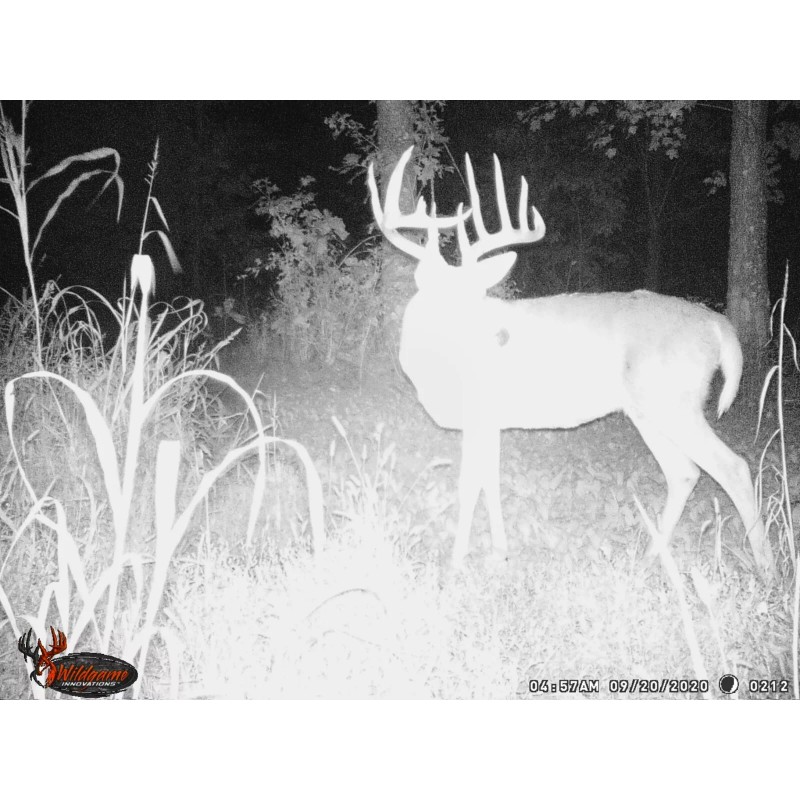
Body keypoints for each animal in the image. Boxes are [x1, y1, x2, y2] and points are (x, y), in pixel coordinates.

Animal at [368, 146, 775, 580]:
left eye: (473, 295)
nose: (495, 338)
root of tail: (719, 325)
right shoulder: (490, 420)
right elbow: (489, 480)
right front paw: (498, 553)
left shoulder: (479, 413)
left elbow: (468, 484)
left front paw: (455, 563)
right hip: (649, 410)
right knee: (685, 472)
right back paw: (649, 559)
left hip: (674, 403)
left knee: (732, 467)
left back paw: (766, 567)